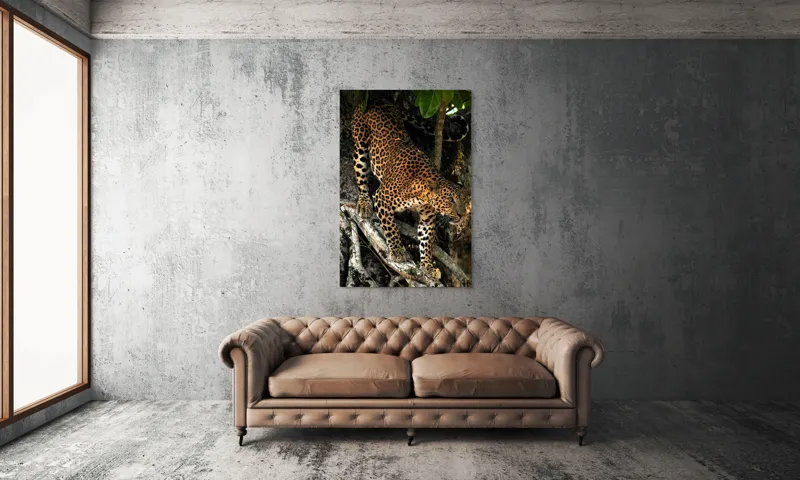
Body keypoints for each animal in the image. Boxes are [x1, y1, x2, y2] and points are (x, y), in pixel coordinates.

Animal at [351, 103, 470, 281]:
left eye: (463, 200)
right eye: (451, 200)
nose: (462, 215)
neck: (421, 195)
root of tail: (381, 100)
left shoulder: (427, 219)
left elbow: (426, 242)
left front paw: (428, 267)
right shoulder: (382, 199)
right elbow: (391, 228)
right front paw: (397, 251)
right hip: (360, 144)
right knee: (361, 175)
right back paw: (364, 204)